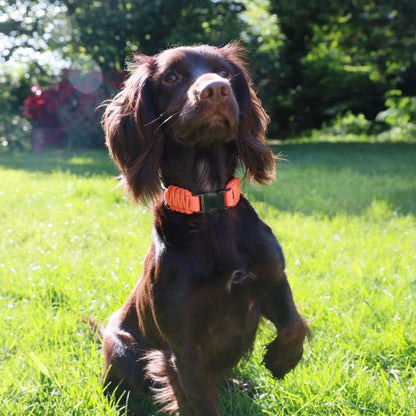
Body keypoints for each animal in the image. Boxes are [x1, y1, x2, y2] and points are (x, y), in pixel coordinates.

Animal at [100, 44, 308, 414]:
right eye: (171, 77)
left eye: (224, 72)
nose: (215, 90)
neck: (209, 201)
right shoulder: (186, 352)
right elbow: (201, 403)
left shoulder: (272, 277)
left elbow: (293, 325)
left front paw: (281, 360)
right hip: (123, 352)